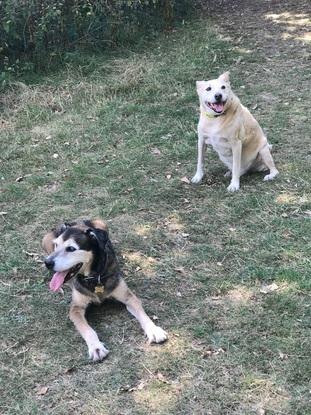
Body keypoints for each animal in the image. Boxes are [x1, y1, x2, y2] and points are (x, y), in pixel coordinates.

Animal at [42, 221, 168, 360]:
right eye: (56, 245)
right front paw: (96, 347)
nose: (47, 263)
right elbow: (87, 329)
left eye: (71, 249)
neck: (95, 276)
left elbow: (142, 314)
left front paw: (153, 330)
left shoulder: (128, 297)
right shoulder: (76, 308)